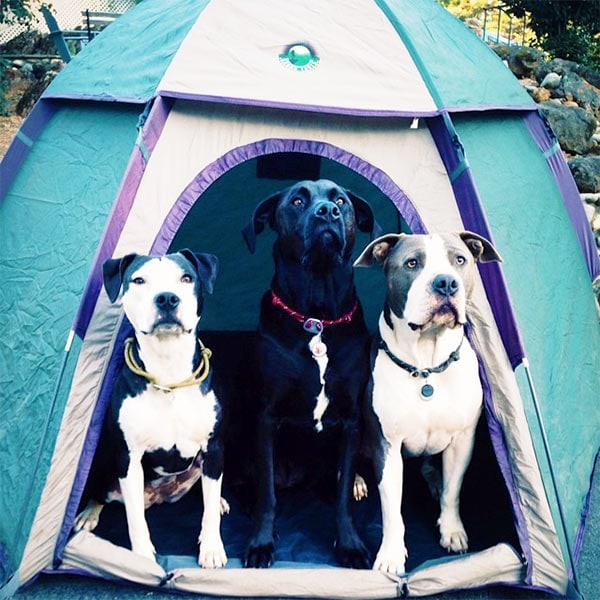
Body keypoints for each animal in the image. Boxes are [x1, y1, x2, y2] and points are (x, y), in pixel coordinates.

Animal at [73, 248, 227, 568]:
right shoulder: (129, 456)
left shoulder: (214, 448)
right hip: (108, 467)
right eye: (139, 280)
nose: (167, 298)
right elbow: (135, 519)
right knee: (101, 492)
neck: (169, 374)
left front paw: (211, 547)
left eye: (186, 278)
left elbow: (208, 509)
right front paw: (141, 559)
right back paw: (88, 514)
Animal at [240, 177, 378, 568]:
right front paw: (260, 542)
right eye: (298, 201)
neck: (316, 317)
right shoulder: (266, 418)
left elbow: (344, 497)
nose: (326, 212)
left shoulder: (351, 420)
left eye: (341, 201)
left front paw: (350, 544)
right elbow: (268, 497)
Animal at [354, 230, 504, 572]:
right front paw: (391, 555)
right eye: (412, 263)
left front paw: (452, 530)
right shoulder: (387, 445)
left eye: (459, 259)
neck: (426, 365)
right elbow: (391, 510)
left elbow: (453, 491)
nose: (446, 283)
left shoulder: (463, 440)